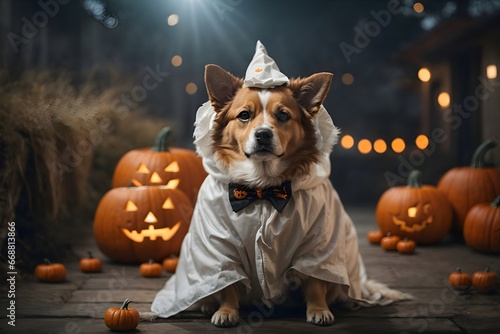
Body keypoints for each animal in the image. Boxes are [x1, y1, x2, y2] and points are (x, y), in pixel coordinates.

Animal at [150, 41, 412, 326]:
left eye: (284, 116)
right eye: (244, 115)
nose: (263, 134)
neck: (263, 190)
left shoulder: (317, 245)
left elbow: (315, 282)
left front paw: (318, 309)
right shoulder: (219, 245)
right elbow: (228, 283)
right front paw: (226, 311)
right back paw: (208, 304)